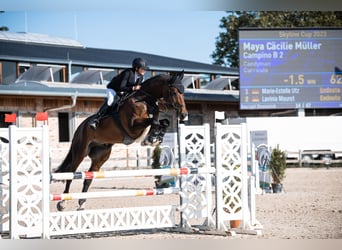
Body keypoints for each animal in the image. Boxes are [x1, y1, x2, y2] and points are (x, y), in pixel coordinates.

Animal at [54, 69, 187, 210]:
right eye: (174, 92)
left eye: (183, 92)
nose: (184, 115)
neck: (144, 100)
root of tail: (80, 127)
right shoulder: (132, 127)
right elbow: (154, 121)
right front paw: (151, 138)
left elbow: (163, 122)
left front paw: (154, 138)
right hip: (80, 151)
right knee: (70, 173)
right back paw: (62, 202)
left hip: (100, 157)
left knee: (88, 177)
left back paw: (82, 202)